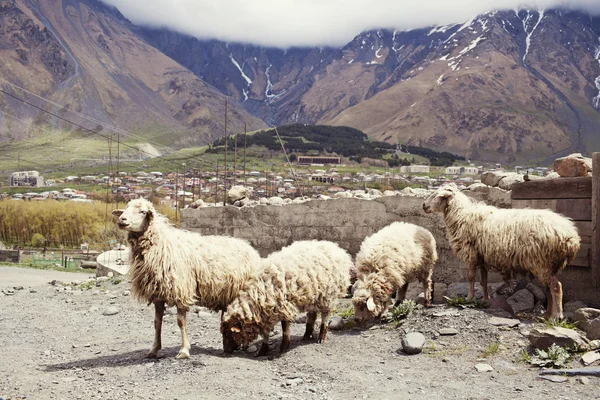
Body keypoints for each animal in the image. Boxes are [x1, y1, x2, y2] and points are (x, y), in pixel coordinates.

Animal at [112, 200, 260, 360]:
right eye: (126, 208)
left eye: (143, 212)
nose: (121, 220)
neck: (161, 244)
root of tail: (249, 247)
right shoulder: (158, 294)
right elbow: (157, 323)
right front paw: (154, 350)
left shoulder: (181, 290)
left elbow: (180, 322)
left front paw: (184, 350)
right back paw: (228, 346)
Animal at [220, 239, 352, 358]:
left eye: (227, 334)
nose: (225, 351)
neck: (258, 295)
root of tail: (335, 248)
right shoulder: (266, 314)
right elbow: (266, 333)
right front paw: (262, 350)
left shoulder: (284, 307)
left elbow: (284, 327)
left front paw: (284, 346)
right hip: (313, 296)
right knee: (312, 314)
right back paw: (306, 335)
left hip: (327, 296)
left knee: (325, 316)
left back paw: (321, 337)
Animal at [422, 183, 580, 320]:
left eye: (437, 195)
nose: (423, 205)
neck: (460, 215)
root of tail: (571, 237)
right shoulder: (482, 256)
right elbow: (483, 280)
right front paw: (486, 300)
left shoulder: (471, 254)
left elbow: (471, 277)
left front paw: (469, 297)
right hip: (549, 264)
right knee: (549, 288)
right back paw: (547, 315)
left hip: (542, 261)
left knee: (556, 287)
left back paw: (556, 316)